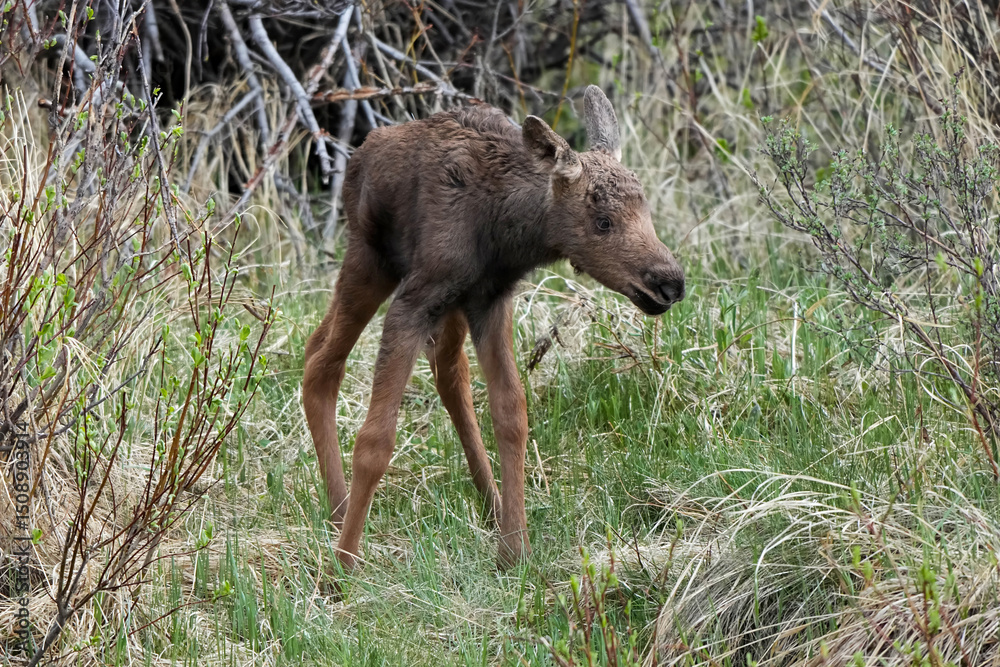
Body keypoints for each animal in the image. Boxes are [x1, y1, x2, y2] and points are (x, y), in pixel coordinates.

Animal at [302, 85, 685, 570]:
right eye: (602, 222)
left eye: (646, 211)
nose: (670, 282)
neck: (505, 232)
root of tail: (356, 158)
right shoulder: (416, 299)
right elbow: (375, 440)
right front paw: (344, 567)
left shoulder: (490, 301)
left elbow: (511, 414)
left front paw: (515, 549)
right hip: (369, 261)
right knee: (321, 362)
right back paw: (338, 515)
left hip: (446, 307)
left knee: (445, 373)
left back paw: (491, 505)